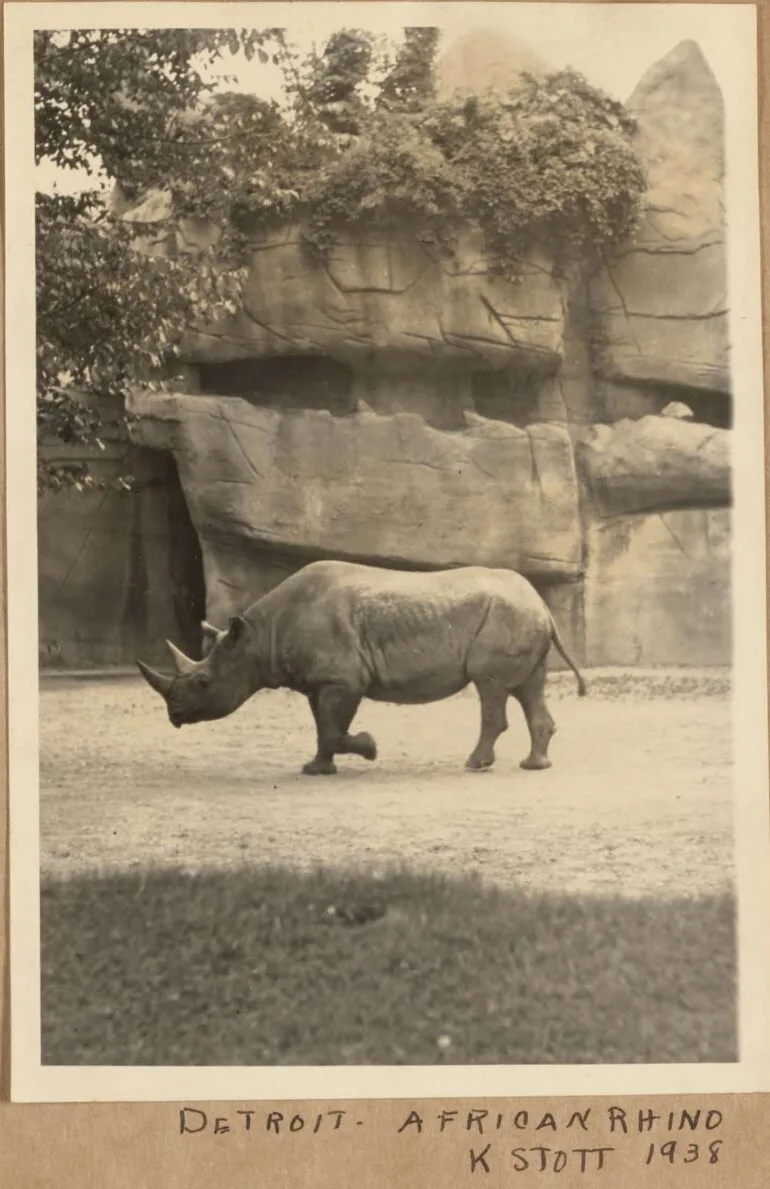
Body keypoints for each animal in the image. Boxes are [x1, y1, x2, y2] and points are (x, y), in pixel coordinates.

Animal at [137, 560, 586, 776]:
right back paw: (534, 765)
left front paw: (369, 748)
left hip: (507, 616)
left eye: (202, 682)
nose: (174, 715)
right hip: (520, 616)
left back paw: (475, 765)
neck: (256, 638)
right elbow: (324, 728)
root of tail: (543, 604)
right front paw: (316, 770)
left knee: (490, 687)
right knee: (528, 687)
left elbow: (334, 729)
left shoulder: (343, 678)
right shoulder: (320, 681)